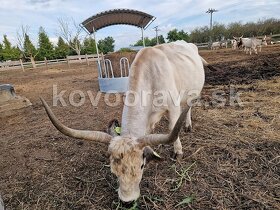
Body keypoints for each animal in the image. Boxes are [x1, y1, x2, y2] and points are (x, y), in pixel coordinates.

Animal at [41, 40, 212, 203]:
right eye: (113, 170)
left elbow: (172, 129)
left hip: (192, 93)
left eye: (141, 166)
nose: (127, 201)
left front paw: (178, 152)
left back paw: (188, 125)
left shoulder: (173, 108)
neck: (151, 76)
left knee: (188, 107)